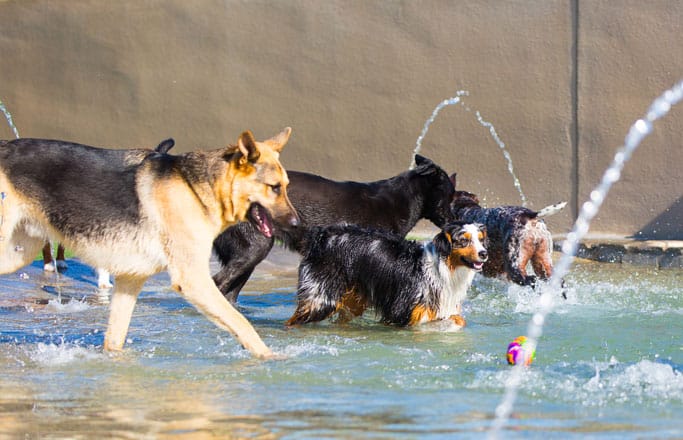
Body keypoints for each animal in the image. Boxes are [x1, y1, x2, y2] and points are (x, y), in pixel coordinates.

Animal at [0, 127, 300, 358]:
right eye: (274, 188)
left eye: (286, 186)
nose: (297, 223)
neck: (196, 188)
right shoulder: (192, 279)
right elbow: (241, 322)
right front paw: (270, 357)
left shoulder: (130, 280)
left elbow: (115, 340)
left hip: (18, 253)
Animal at [286, 223, 488, 330]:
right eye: (464, 240)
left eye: (480, 240)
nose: (484, 253)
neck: (444, 268)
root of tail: (322, 236)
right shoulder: (401, 313)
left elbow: (458, 319)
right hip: (321, 299)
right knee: (293, 320)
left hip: (352, 302)